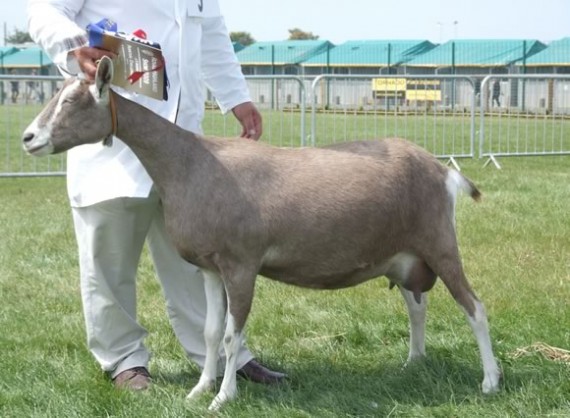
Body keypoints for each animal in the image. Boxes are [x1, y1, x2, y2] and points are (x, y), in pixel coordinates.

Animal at [23, 57, 496, 410]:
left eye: (73, 100)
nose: (29, 138)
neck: (192, 163)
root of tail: (443, 171)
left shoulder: (241, 264)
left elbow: (233, 334)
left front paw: (223, 398)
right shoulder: (209, 268)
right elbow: (211, 332)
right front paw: (199, 390)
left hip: (439, 243)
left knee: (474, 306)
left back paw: (490, 380)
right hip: (403, 257)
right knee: (417, 306)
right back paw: (413, 363)